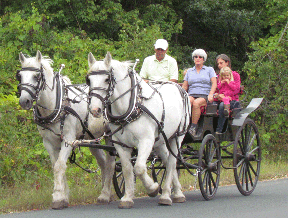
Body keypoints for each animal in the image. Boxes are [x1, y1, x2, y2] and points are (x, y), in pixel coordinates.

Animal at [17, 51, 115, 209]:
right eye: (20, 76)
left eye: (36, 76)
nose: (23, 101)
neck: (56, 105)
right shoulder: (49, 142)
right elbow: (55, 165)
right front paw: (63, 196)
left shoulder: (68, 140)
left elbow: (60, 166)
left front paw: (57, 197)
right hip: (93, 140)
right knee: (103, 163)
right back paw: (107, 192)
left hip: (110, 136)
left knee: (111, 163)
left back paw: (105, 194)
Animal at [86, 52, 190, 209]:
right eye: (89, 80)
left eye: (106, 79)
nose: (95, 110)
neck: (132, 106)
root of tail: (180, 88)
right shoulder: (121, 144)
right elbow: (127, 169)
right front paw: (127, 197)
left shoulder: (146, 141)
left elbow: (139, 168)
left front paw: (153, 188)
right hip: (160, 141)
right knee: (166, 161)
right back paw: (177, 192)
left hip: (177, 137)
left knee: (172, 163)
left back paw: (166, 195)